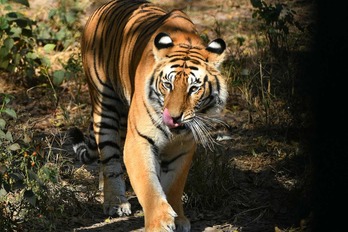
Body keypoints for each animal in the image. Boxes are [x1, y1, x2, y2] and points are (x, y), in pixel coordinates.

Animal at [68, 0, 228, 230]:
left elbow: (173, 186)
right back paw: (115, 202)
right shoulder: (139, 141)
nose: (174, 117)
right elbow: (149, 186)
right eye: (168, 84)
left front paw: (178, 219)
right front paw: (159, 223)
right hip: (104, 102)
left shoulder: (183, 148)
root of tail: (101, 7)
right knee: (110, 157)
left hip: (123, 120)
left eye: (194, 89)